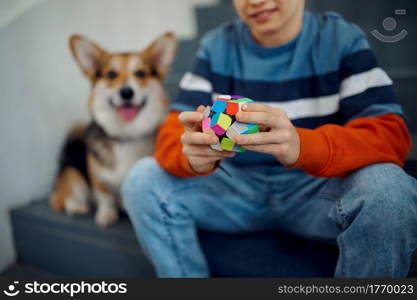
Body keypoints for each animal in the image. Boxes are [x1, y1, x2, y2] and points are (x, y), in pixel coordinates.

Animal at [50, 32, 177, 227]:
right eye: (111, 74)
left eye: (140, 73)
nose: (126, 92)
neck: (126, 135)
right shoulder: (98, 180)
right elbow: (105, 196)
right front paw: (106, 214)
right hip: (72, 173)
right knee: (62, 198)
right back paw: (77, 206)